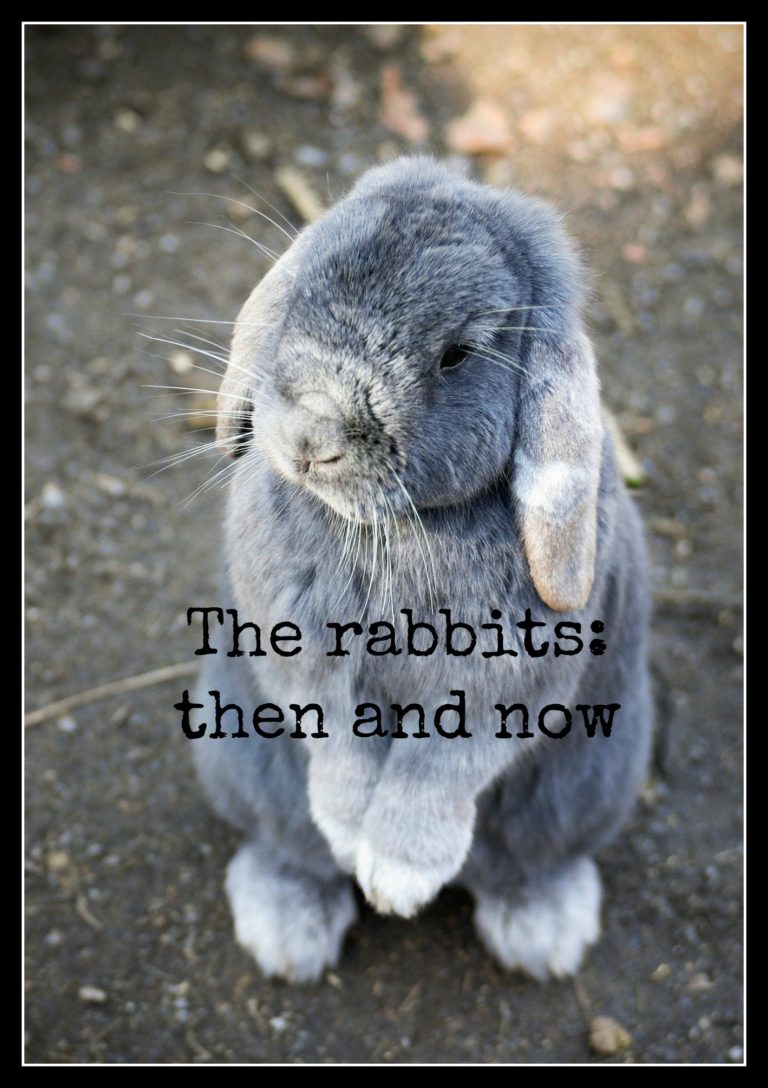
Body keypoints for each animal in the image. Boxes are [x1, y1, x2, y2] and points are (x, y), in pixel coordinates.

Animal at [190, 155, 653, 983]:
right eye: (303, 290)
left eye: (456, 355)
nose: (310, 437)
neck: (398, 530)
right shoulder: (304, 658)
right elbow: (337, 739)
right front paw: (353, 838)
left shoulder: (501, 691)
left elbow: (438, 768)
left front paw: (399, 878)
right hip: (239, 760)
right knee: (289, 847)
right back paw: (287, 933)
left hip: (586, 788)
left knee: (527, 866)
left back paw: (544, 936)